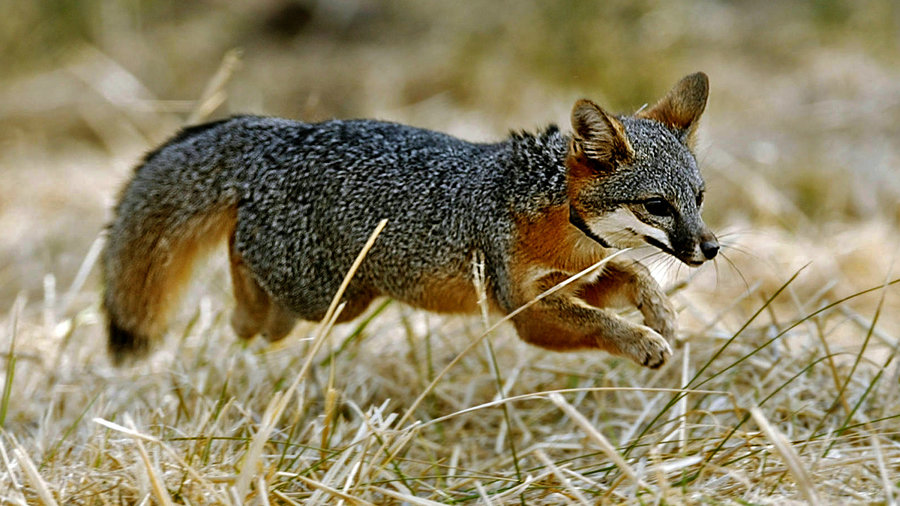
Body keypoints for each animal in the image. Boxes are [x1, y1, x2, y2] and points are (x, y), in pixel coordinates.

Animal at [100, 72, 716, 368]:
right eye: (657, 205)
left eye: (699, 197)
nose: (711, 248)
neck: (560, 224)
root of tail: (281, 134)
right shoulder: (523, 308)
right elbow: (596, 320)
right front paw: (641, 340)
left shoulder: (579, 276)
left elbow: (635, 272)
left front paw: (662, 317)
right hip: (326, 299)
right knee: (246, 280)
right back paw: (240, 319)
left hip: (338, 302)